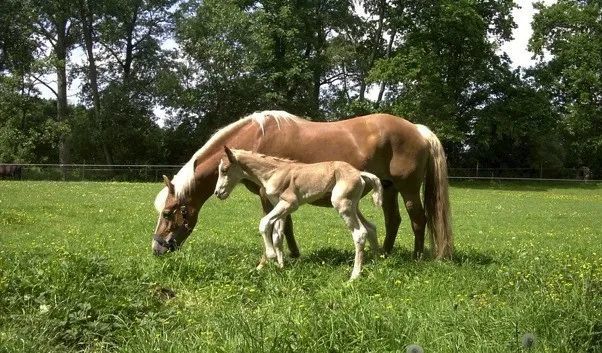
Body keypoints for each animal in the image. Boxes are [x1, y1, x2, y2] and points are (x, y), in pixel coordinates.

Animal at [152, 111, 452, 260]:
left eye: (167, 214)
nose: (157, 249)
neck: (256, 138)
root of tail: (417, 129)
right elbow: (285, 226)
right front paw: (293, 255)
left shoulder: (267, 196)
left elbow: (276, 226)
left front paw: (281, 257)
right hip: (388, 189)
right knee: (393, 221)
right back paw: (386, 254)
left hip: (408, 189)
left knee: (418, 219)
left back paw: (416, 257)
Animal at [213, 146, 382, 280]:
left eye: (224, 170)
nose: (218, 193)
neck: (273, 172)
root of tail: (359, 173)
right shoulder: (281, 207)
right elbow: (277, 236)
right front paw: (281, 267)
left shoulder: (289, 204)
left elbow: (264, 223)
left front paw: (271, 255)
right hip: (353, 206)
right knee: (371, 228)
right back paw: (377, 262)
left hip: (342, 205)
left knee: (360, 233)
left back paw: (354, 276)